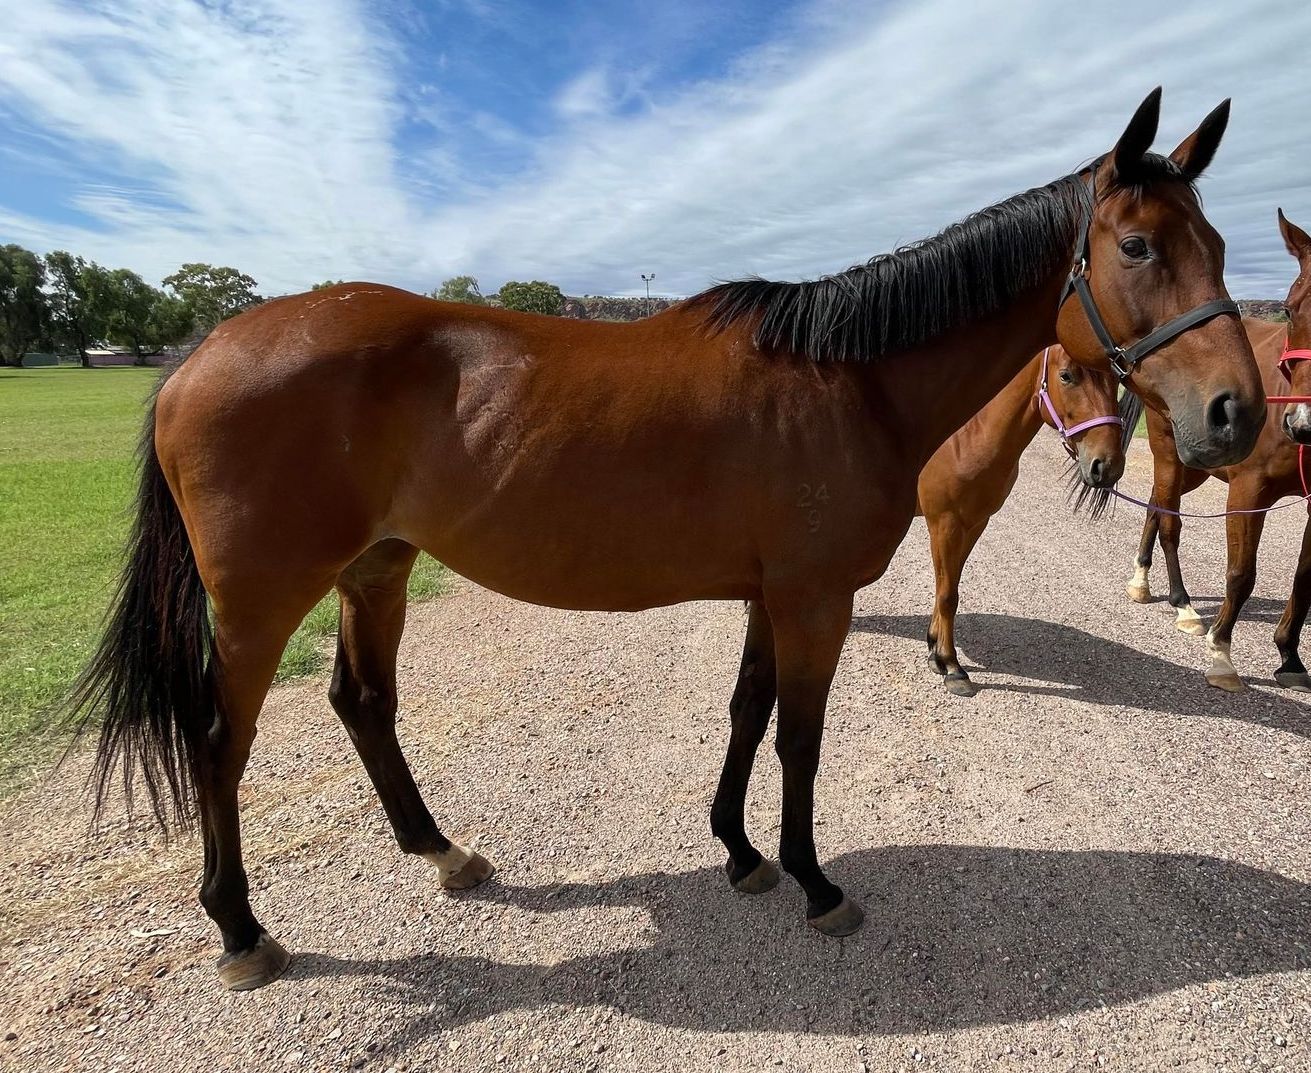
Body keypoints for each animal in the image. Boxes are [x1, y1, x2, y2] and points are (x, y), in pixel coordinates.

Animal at [921, 347, 1127, 696]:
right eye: (1066, 376)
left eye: (1115, 380)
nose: (1107, 465)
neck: (965, 435)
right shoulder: (944, 524)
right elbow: (947, 593)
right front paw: (951, 665)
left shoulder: (973, 523)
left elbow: (948, 586)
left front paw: (935, 649)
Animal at [1122, 210, 1311, 692]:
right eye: (1291, 307)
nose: (1303, 422)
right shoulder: (1249, 491)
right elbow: (1241, 574)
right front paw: (1221, 651)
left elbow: (1305, 577)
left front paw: (1290, 657)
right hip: (1172, 456)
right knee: (1167, 519)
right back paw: (1179, 602)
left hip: (1196, 468)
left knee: (1155, 505)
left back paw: (1143, 580)